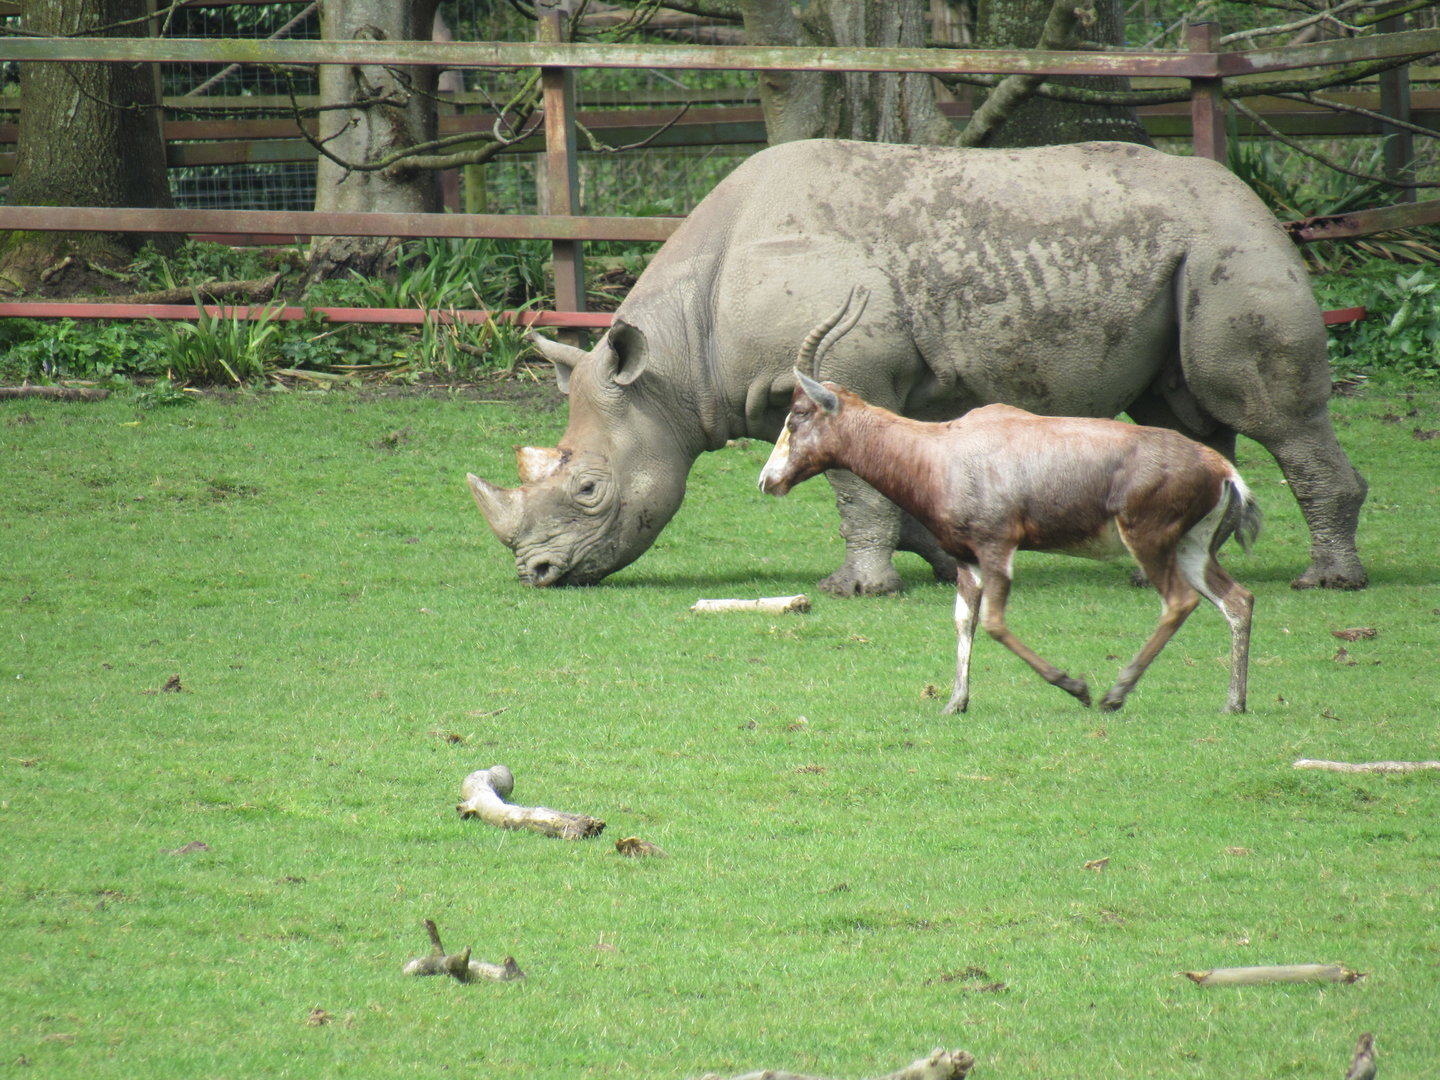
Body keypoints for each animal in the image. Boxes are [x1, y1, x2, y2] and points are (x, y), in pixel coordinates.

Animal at [468, 138, 1368, 595]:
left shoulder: (845, 370)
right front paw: (938, 565)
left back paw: (1326, 583)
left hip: (1232, 245)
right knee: (1179, 416)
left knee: (1266, 411)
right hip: (1191, 253)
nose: (535, 572)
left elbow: (857, 492)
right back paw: (1178, 575)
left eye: (590, 490)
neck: (678, 359)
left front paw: (855, 590)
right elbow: (894, 490)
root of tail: (1254, 199)